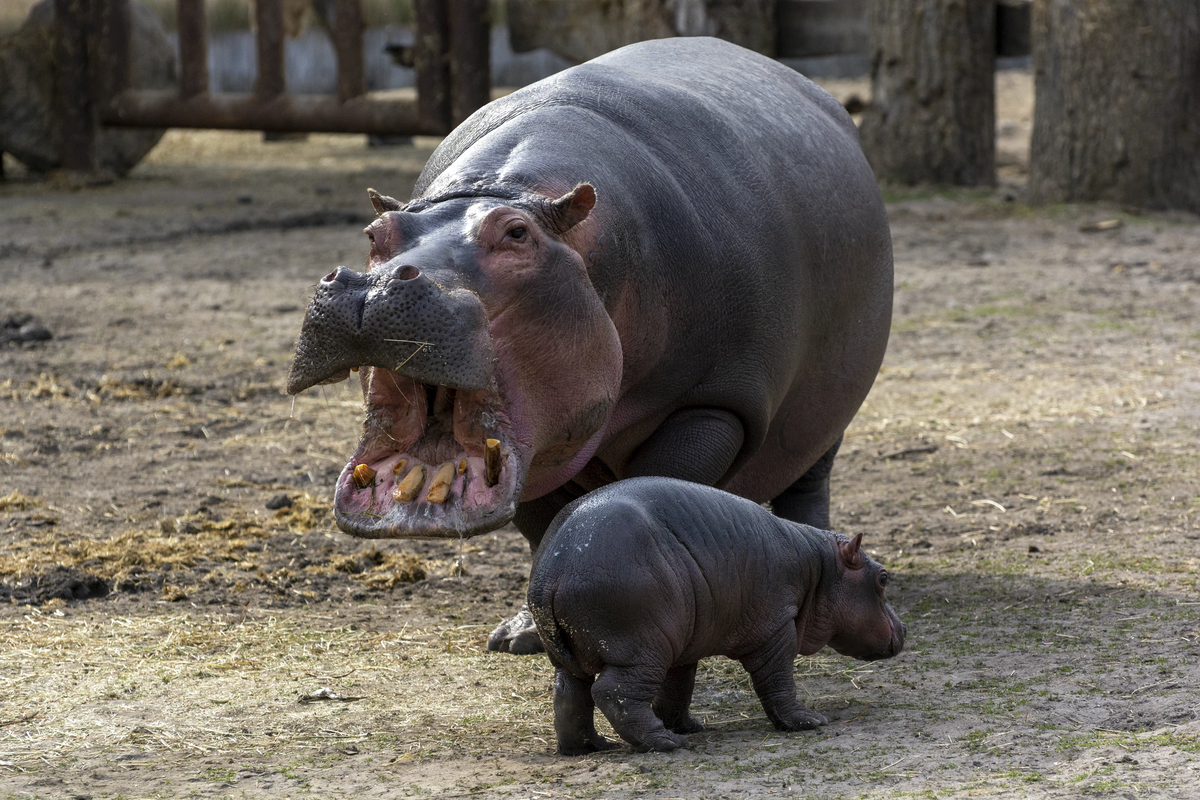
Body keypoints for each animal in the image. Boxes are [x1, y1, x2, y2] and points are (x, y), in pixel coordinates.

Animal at [288, 35, 892, 652]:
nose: (378, 283)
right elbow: (541, 525)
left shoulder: (716, 405)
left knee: (809, 478)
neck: (514, 192)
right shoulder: (541, 440)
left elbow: (660, 484)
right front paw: (522, 635)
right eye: (375, 236)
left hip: (830, 404)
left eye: (516, 234)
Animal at [530, 479, 902, 753]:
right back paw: (666, 742)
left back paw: (592, 746)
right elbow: (778, 680)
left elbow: (678, 688)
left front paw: (690, 726)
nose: (904, 628)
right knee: (613, 692)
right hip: (640, 648)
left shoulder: (684, 649)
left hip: (585, 654)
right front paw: (809, 721)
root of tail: (552, 571)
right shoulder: (775, 629)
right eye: (883, 578)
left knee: (569, 693)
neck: (819, 567)